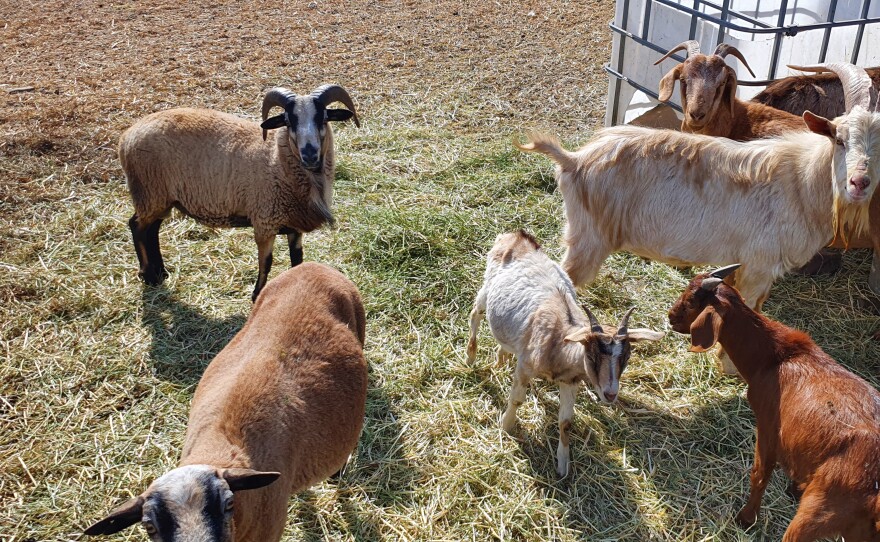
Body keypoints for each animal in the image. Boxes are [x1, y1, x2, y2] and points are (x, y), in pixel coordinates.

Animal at [121, 84, 360, 301]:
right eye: (289, 120)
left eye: (323, 118)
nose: (310, 154)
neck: (276, 159)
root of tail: (126, 137)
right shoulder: (264, 221)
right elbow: (267, 262)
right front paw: (256, 294)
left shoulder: (294, 224)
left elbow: (297, 259)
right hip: (149, 192)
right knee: (137, 227)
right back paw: (149, 276)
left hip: (160, 197)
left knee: (152, 230)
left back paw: (161, 272)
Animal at [467, 230, 664, 477]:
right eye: (591, 355)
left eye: (626, 357)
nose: (610, 394)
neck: (560, 338)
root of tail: (518, 236)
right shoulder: (525, 366)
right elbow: (517, 399)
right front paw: (506, 426)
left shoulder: (570, 381)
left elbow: (566, 422)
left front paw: (562, 465)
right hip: (487, 287)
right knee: (476, 313)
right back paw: (470, 357)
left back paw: (500, 359)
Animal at [516, 62, 879, 374]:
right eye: (839, 138)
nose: (859, 182)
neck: (802, 181)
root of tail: (573, 159)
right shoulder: (759, 265)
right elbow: (749, 310)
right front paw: (732, 367)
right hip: (589, 238)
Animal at [668, 264, 880, 541]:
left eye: (693, 300)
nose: (670, 316)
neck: (775, 357)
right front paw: (793, 488)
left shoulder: (768, 427)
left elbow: (759, 474)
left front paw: (746, 519)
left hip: (821, 509)